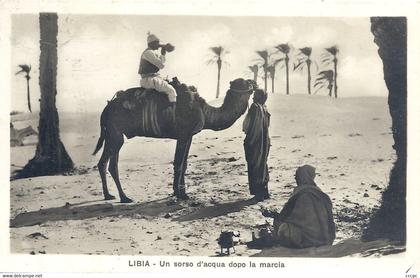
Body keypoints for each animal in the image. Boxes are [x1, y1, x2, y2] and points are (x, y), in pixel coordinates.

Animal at [93, 77, 254, 203]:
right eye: (244, 82)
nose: (254, 82)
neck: (205, 111)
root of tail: (106, 108)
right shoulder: (183, 134)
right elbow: (178, 163)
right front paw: (180, 194)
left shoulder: (189, 136)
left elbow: (184, 163)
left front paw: (180, 192)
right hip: (115, 135)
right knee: (111, 165)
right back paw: (124, 197)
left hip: (112, 135)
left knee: (105, 163)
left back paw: (109, 195)